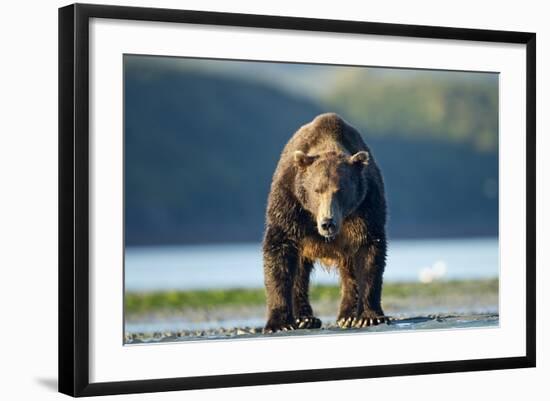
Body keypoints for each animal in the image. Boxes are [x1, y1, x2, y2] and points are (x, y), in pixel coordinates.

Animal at [264, 111, 388, 332]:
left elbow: (369, 254)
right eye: (317, 190)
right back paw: (305, 318)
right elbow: (279, 252)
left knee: (349, 271)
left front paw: (369, 316)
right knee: (300, 272)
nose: (327, 223)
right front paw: (280, 323)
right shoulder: (290, 202)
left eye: (341, 190)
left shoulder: (366, 205)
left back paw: (347, 316)